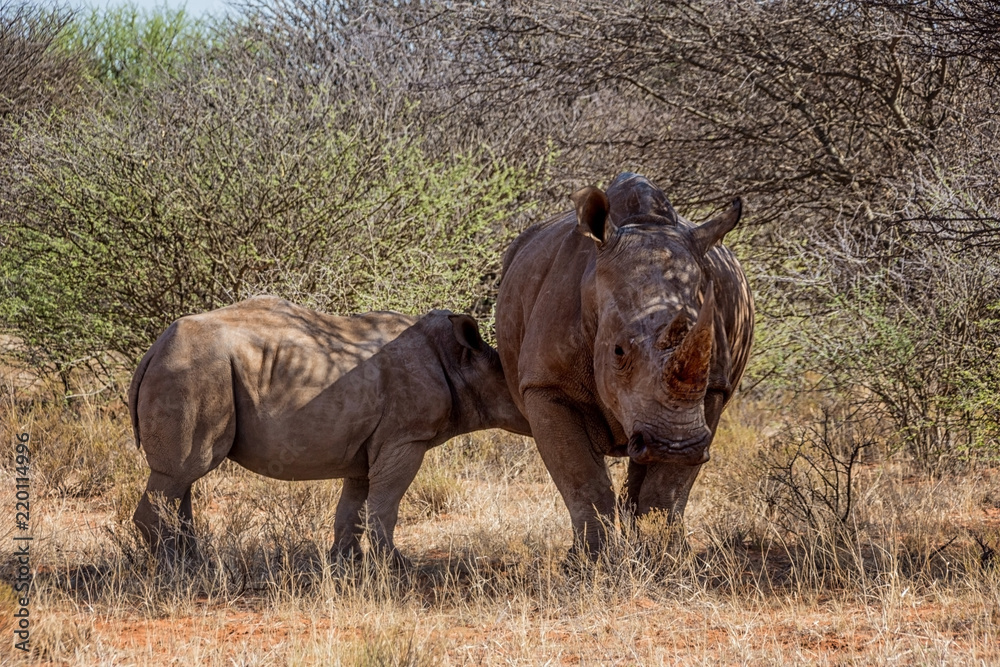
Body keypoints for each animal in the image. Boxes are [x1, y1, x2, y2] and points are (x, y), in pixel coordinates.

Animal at [128, 297, 531, 564]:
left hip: (190, 369)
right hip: (192, 371)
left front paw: (345, 563)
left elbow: (354, 507)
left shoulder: (368, 443)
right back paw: (175, 570)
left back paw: (195, 561)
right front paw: (396, 567)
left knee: (183, 478)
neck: (460, 360)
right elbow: (385, 504)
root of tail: (153, 350)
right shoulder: (405, 437)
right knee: (181, 472)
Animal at [496, 173, 754, 556]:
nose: (676, 446)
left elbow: (667, 487)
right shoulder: (545, 384)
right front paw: (589, 562)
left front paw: (666, 558)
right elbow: (583, 482)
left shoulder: (712, 388)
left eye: (706, 347)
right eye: (617, 352)